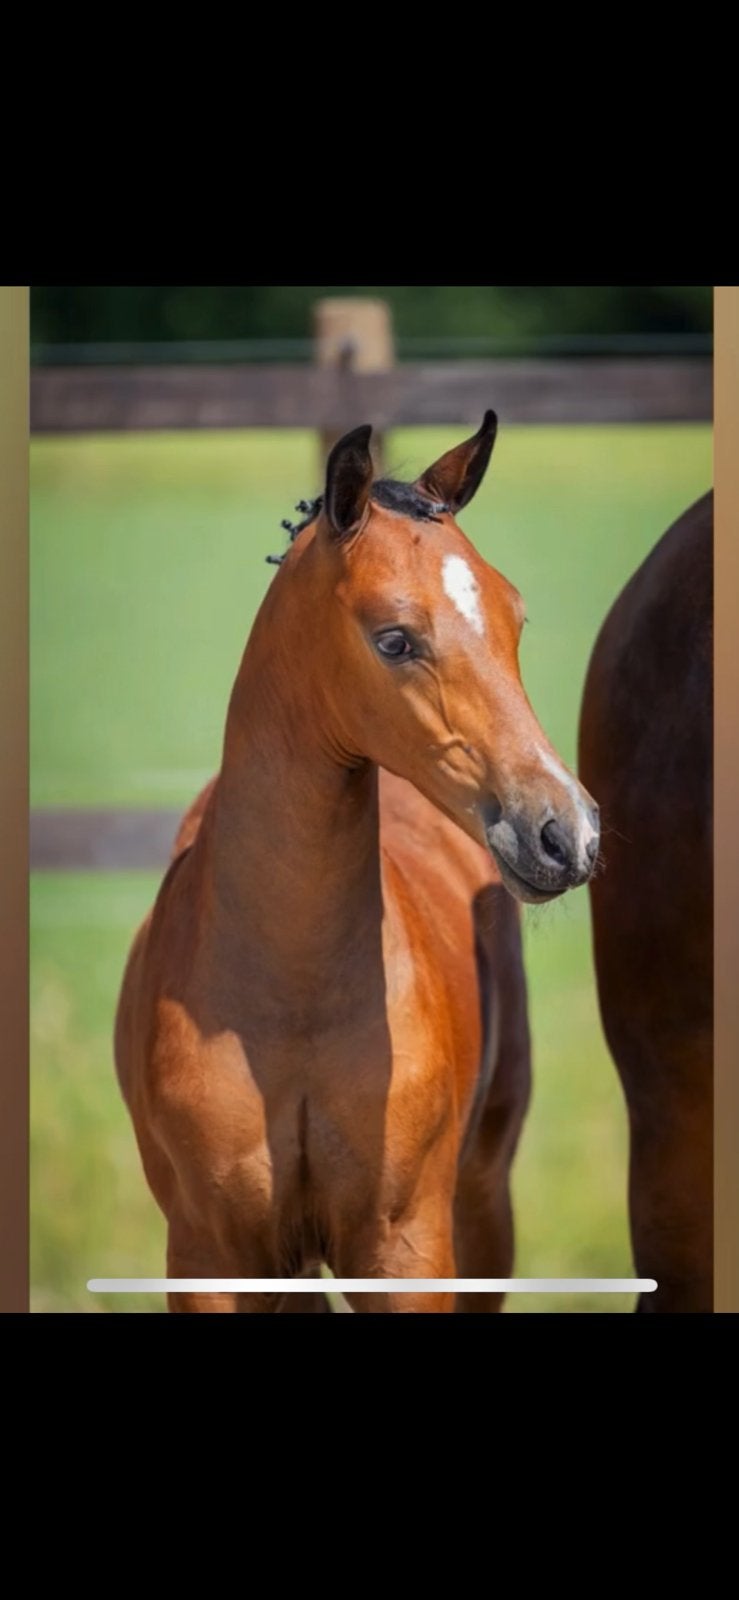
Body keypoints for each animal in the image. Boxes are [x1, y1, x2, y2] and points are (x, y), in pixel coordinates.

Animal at [114, 413, 600, 1313]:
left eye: (513, 618)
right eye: (395, 638)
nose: (565, 832)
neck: (290, 1001)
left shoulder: (406, 1250)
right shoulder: (211, 1255)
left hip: (484, 1198)